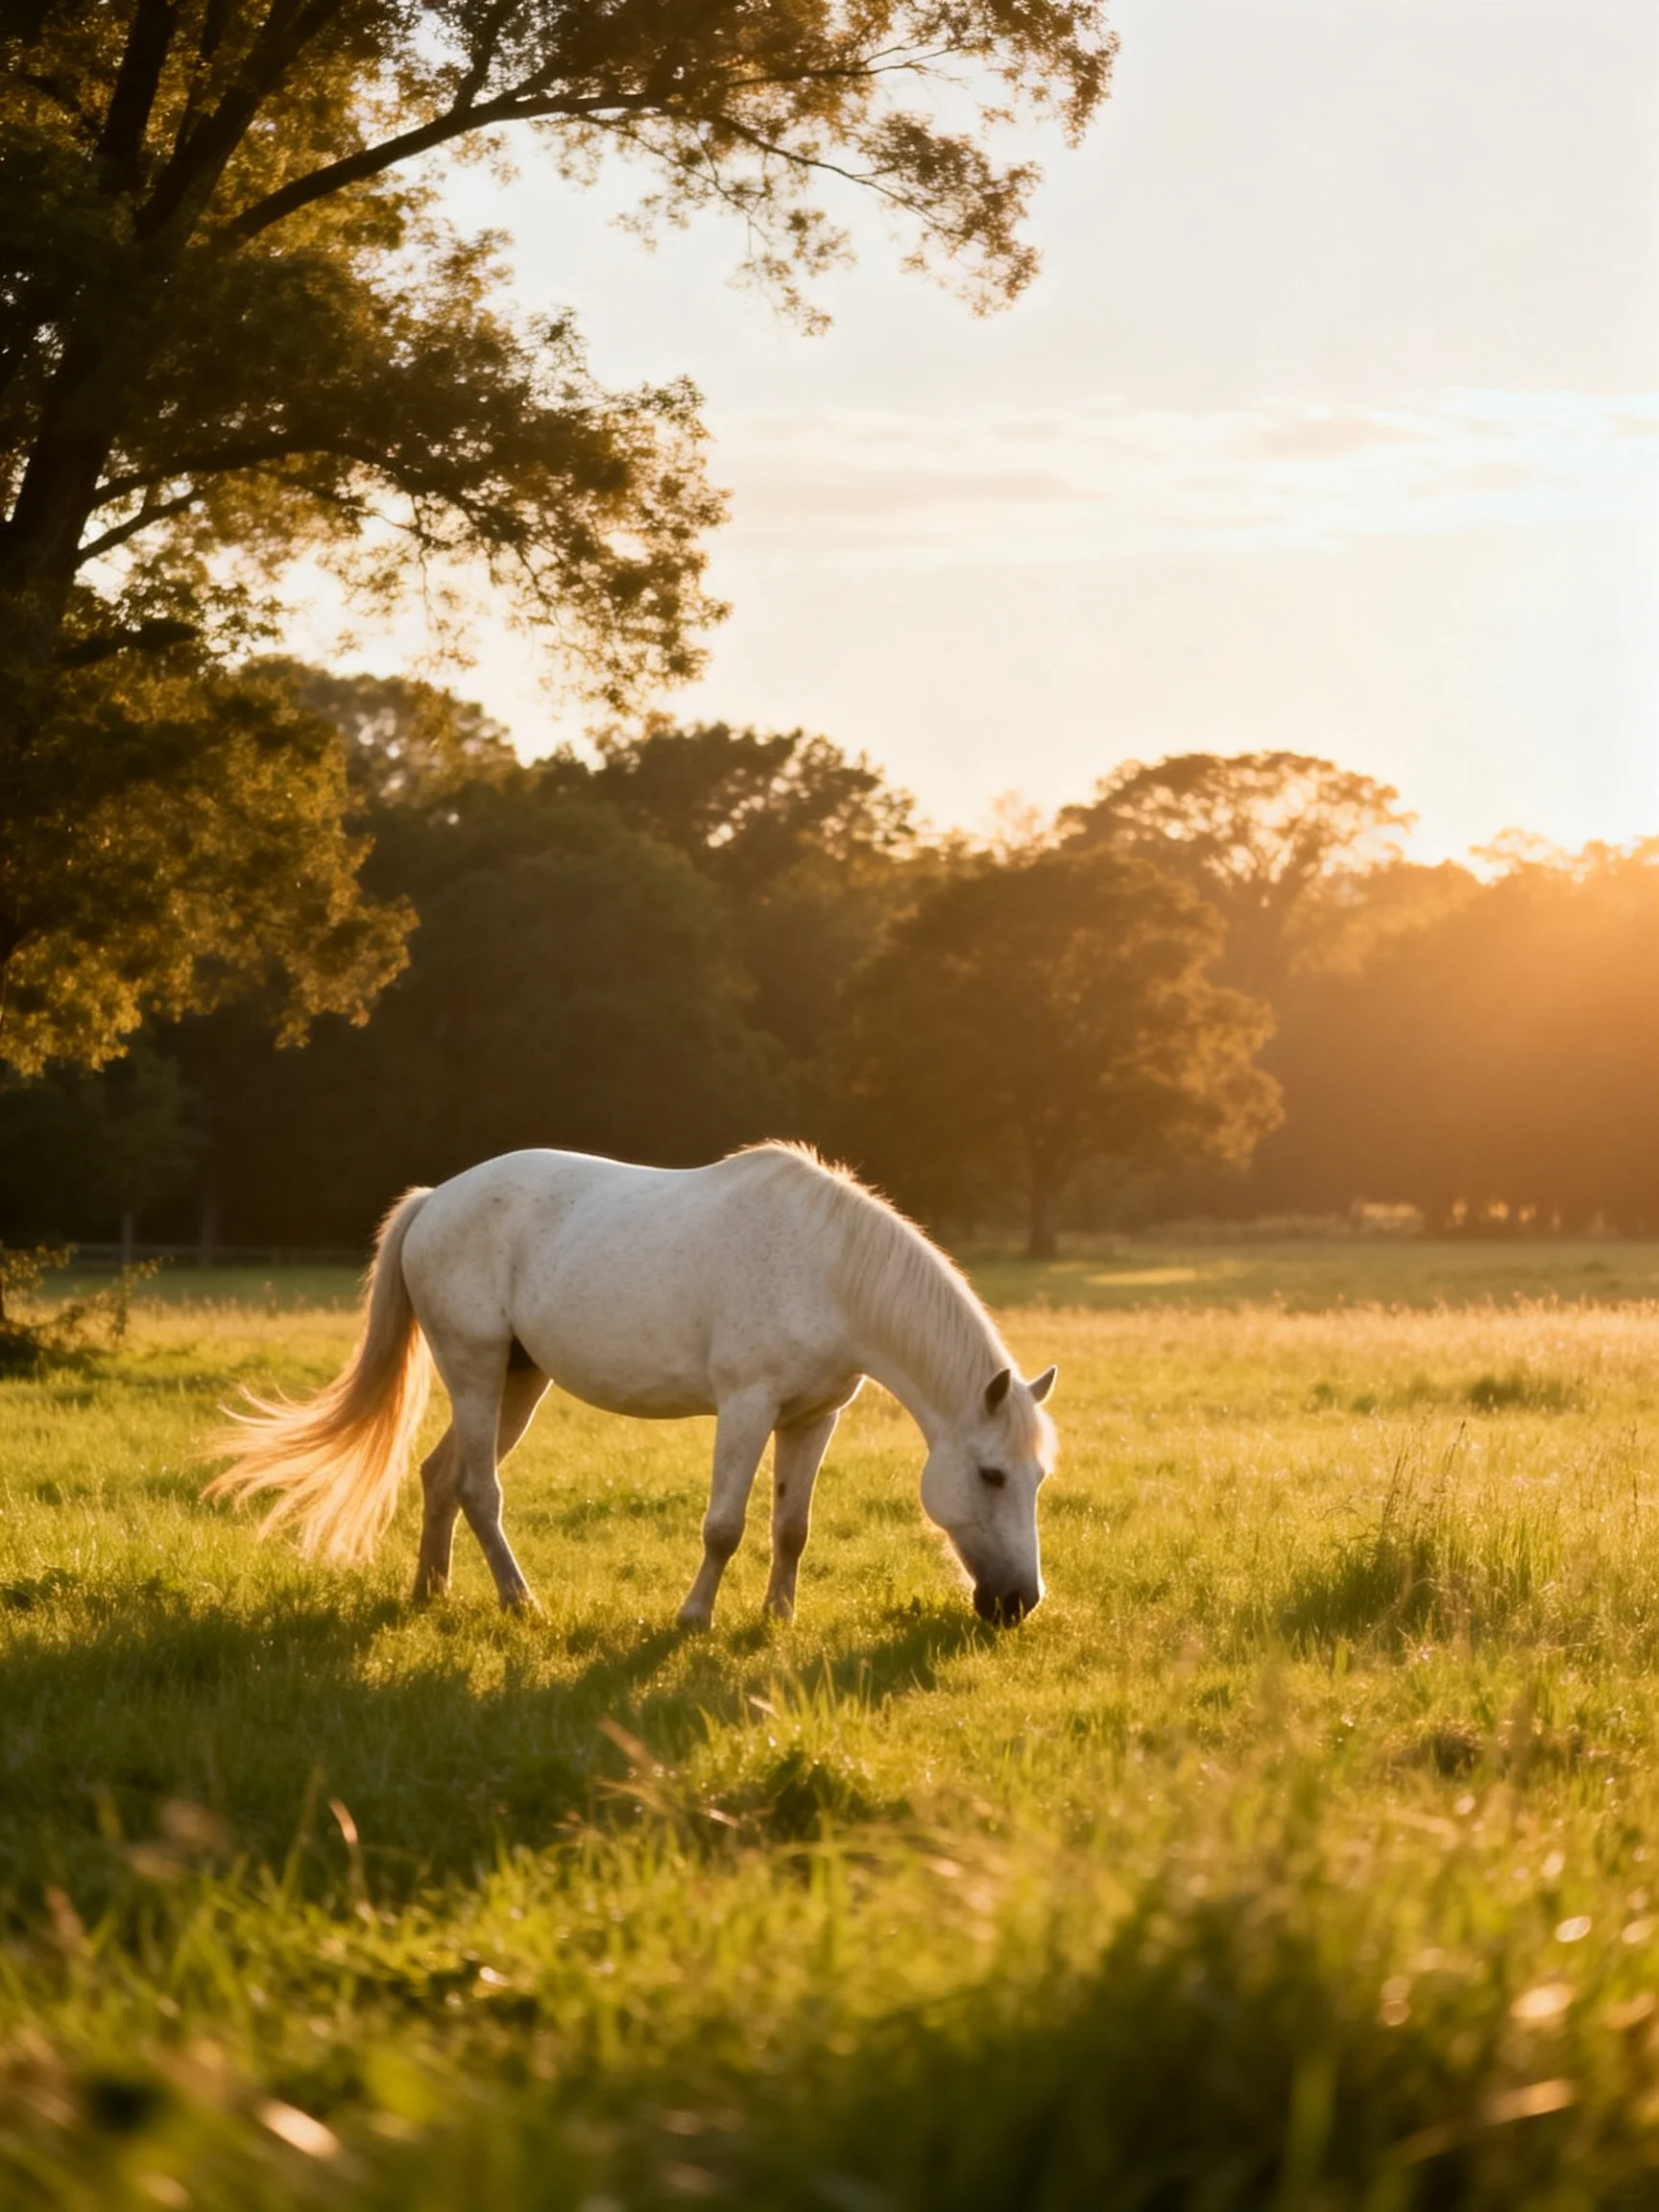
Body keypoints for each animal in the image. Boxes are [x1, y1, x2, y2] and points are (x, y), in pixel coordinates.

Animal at [206, 1143, 1058, 1628]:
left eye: (1038, 1479)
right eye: (991, 1474)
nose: (1018, 1604)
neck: (828, 1271)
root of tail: (434, 1200)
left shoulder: (813, 1418)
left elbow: (792, 1527)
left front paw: (777, 1618)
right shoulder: (746, 1408)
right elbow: (724, 1526)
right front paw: (694, 1618)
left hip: (518, 1380)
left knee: (441, 1476)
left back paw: (431, 1595)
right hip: (475, 1367)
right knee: (479, 1488)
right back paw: (521, 1604)